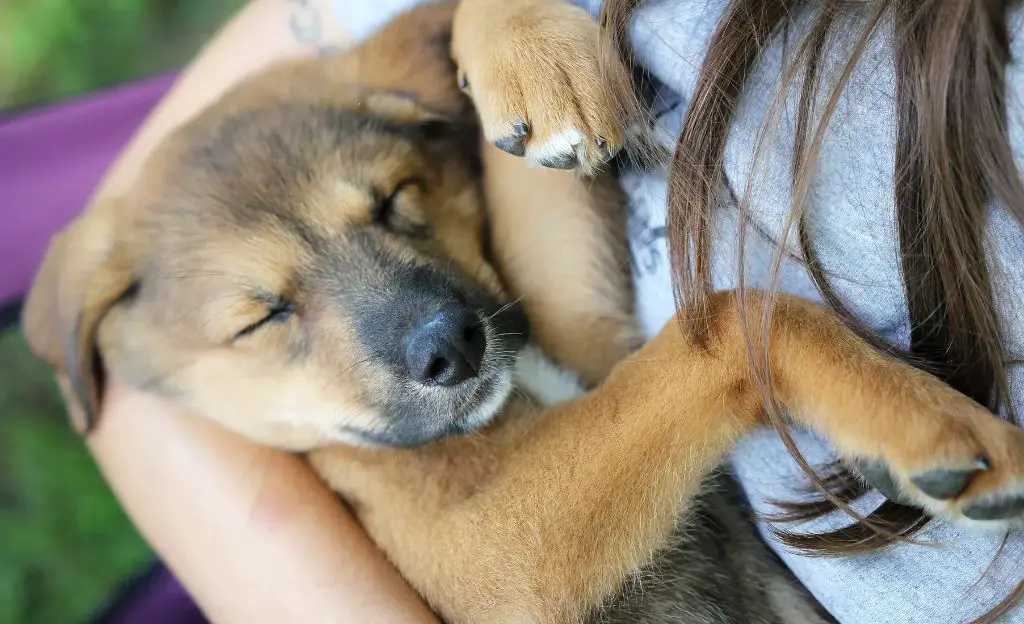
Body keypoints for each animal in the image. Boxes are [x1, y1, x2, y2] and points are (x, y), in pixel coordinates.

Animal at [22, 1, 1024, 622]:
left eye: (396, 200)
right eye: (260, 318)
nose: (453, 347)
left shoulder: (570, 320)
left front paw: (535, 61)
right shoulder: (492, 558)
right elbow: (730, 326)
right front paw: (930, 424)